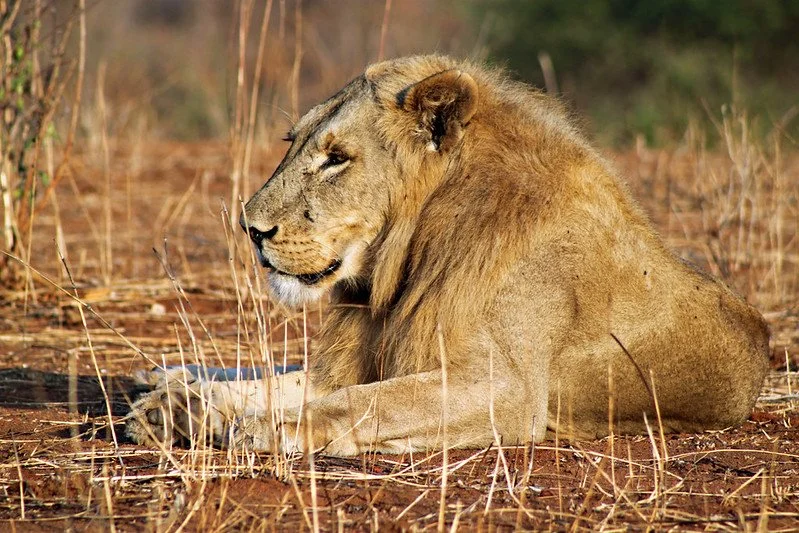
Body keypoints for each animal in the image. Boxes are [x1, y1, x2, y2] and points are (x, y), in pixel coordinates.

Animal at [126, 55, 770, 456]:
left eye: (336, 158)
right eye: (294, 144)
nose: (250, 228)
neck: (407, 257)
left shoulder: (505, 390)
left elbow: (364, 403)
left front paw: (258, 427)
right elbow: (296, 382)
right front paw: (179, 412)